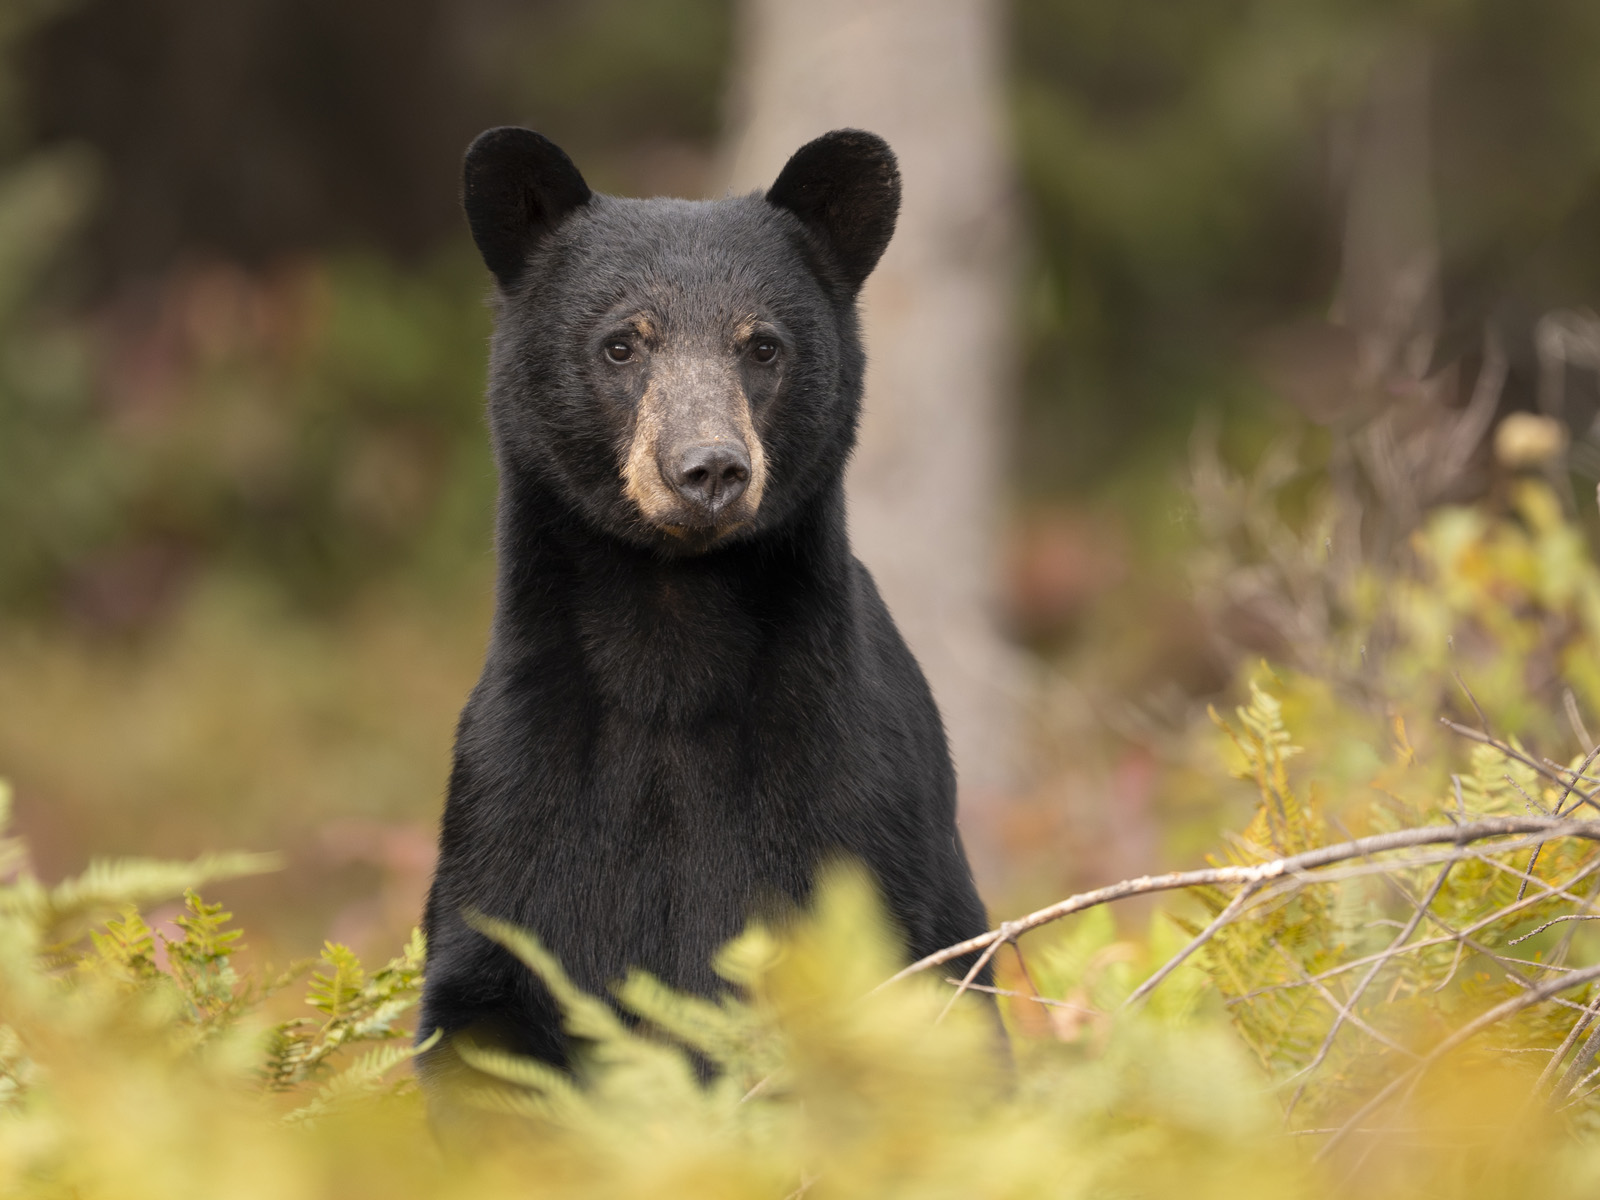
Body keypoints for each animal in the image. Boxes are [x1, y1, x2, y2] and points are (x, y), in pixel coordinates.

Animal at [417, 125, 994, 1092]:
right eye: (622, 345)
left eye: (761, 346)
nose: (709, 467)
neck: (670, 636)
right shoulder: (515, 791)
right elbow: (487, 1007)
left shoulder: (854, 795)